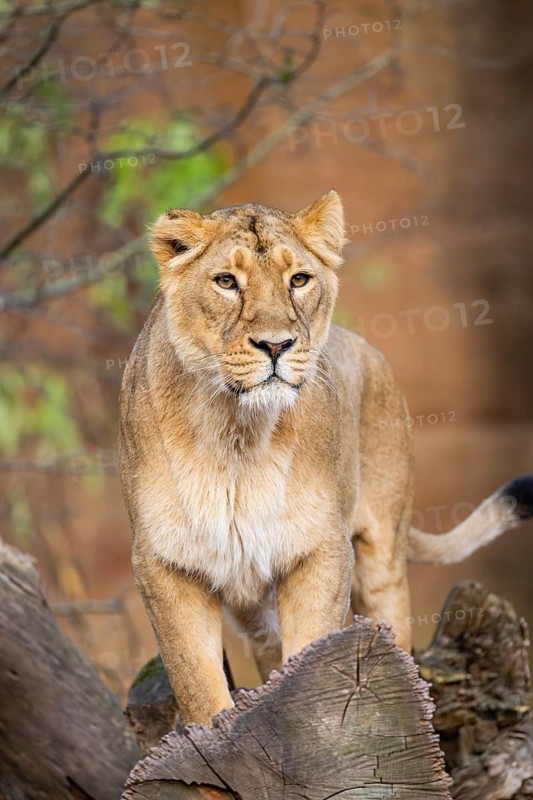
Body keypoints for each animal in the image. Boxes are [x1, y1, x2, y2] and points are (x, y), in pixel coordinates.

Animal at [119, 190, 532, 726]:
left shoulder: (321, 547)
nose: (276, 345)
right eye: (226, 281)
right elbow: (198, 685)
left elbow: (312, 658)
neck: (237, 434)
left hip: (382, 559)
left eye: (299, 279)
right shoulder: (164, 561)